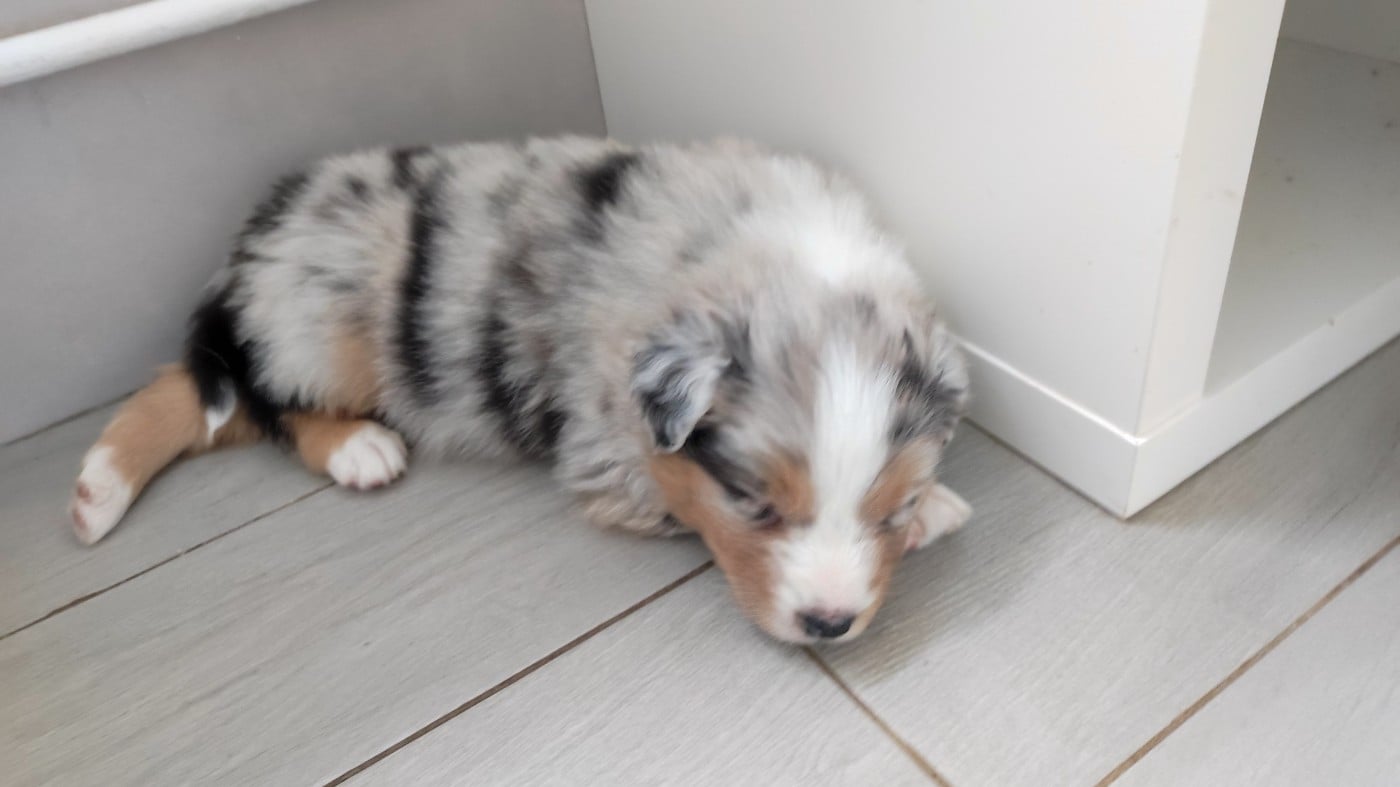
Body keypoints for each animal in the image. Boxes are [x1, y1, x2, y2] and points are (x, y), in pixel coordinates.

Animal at [69, 136, 971, 643]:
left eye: (886, 507)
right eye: (754, 504)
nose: (830, 624)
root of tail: (251, 245)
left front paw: (936, 506)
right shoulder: (611, 446)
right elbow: (682, 505)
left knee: (199, 393)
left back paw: (94, 493)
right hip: (326, 320)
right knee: (261, 397)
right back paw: (360, 449)